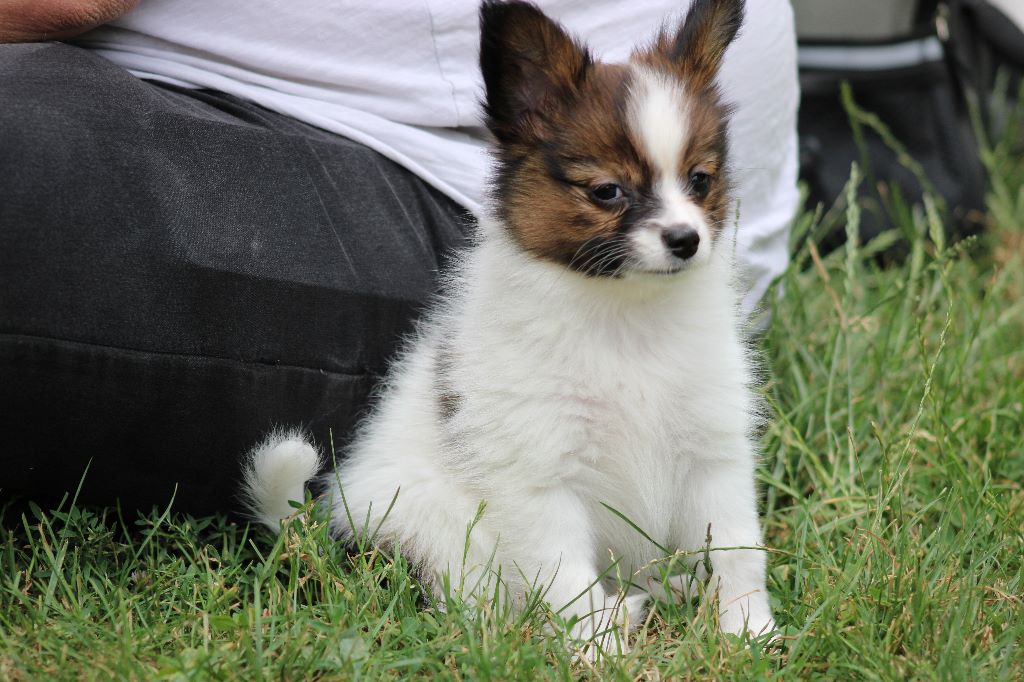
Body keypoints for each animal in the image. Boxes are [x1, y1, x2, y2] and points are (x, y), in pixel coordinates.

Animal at [245, 0, 774, 655]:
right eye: (607, 191)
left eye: (700, 180)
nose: (686, 239)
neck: (626, 315)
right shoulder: (541, 477)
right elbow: (569, 578)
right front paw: (597, 652)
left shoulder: (713, 452)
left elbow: (737, 551)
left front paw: (749, 634)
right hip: (438, 531)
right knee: (475, 602)